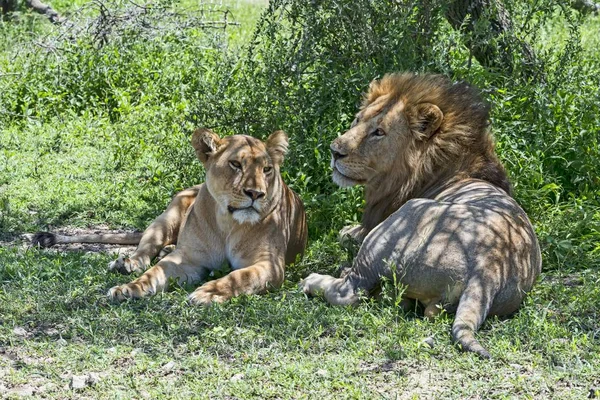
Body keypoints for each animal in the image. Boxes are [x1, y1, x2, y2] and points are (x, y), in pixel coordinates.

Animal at [31, 130, 308, 304]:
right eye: (236, 165)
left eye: (267, 169)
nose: (256, 193)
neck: (228, 223)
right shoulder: (188, 259)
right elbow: (154, 272)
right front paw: (130, 289)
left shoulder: (270, 265)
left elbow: (239, 276)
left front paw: (209, 292)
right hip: (165, 219)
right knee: (145, 251)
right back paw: (127, 264)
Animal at [302, 73, 540, 358]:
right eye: (357, 120)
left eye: (379, 132)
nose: (334, 151)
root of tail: (488, 269)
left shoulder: (376, 221)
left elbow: (344, 235)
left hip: (399, 222)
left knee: (351, 291)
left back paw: (315, 280)